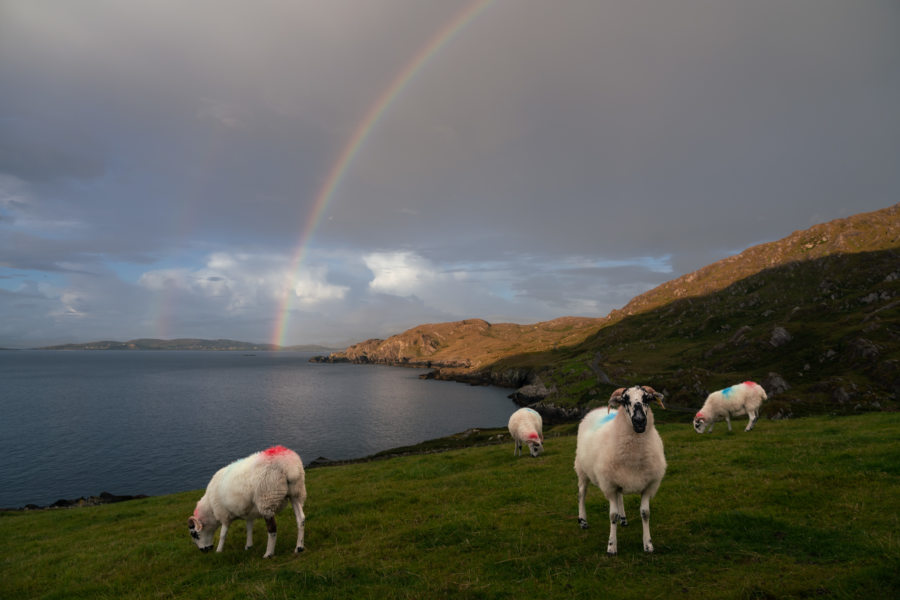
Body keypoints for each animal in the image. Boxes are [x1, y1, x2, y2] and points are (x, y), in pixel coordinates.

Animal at [572, 386, 664, 556]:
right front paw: (611, 546)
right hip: (582, 470)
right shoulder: (609, 486)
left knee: (620, 495)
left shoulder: (649, 485)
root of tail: (598, 409)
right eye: (625, 399)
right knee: (582, 493)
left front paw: (648, 544)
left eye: (647, 398)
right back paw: (583, 521)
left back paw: (624, 519)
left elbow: (645, 513)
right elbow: (612, 515)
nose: (640, 421)